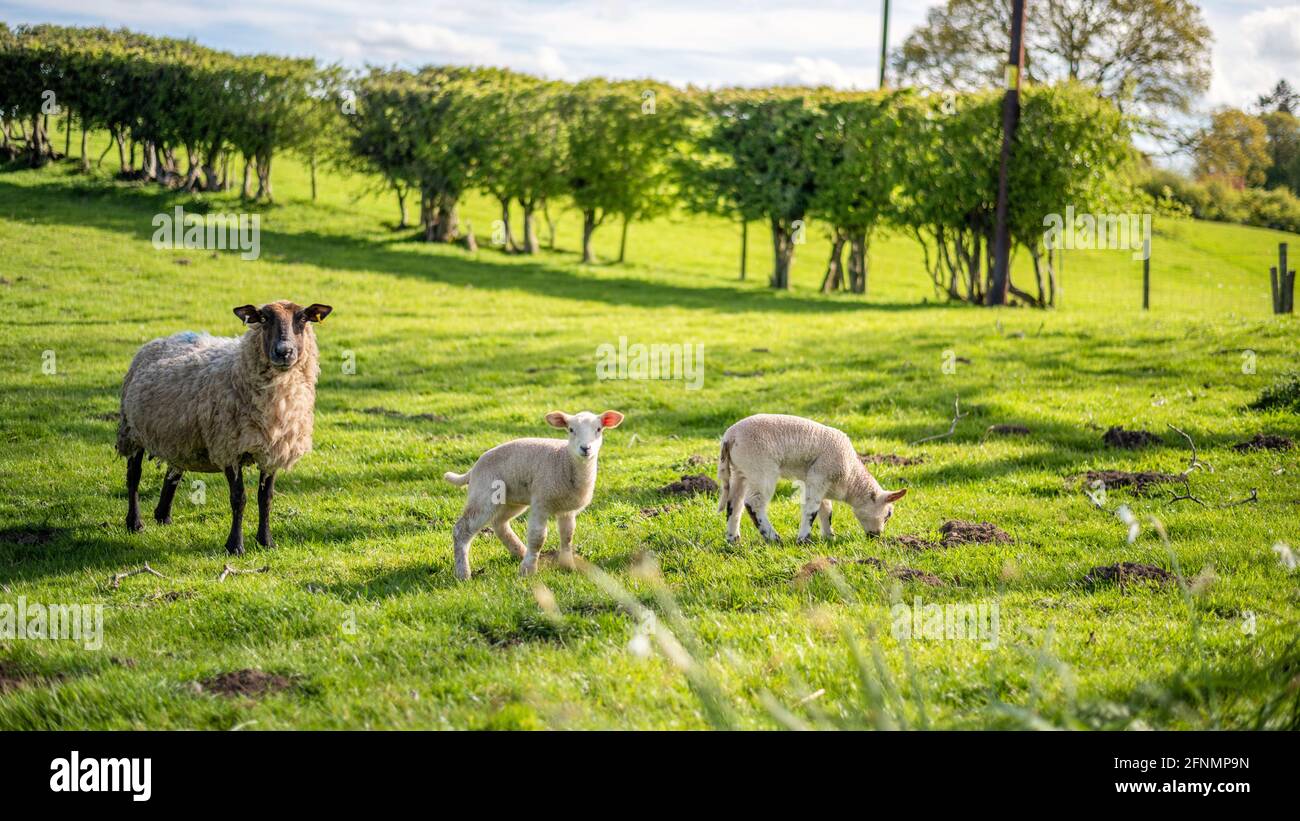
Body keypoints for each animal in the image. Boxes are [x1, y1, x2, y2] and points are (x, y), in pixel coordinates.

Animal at [115, 300, 333, 554]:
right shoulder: (229, 447)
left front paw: (266, 541)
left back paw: (163, 516)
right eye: (263, 318)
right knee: (134, 476)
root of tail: (164, 338)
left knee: (173, 472)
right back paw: (135, 523)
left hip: (179, 437)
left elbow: (266, 498)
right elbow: (239, 498)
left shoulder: (273, 449)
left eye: (303, 318)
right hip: (132, 431)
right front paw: (235, 546)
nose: (284, 352)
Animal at [443, 410, 625, 580]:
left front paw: (568, 566)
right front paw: (528, 571)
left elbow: (567, 536)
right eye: (571, 429)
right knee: (461, 529)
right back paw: (463, 573)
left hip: (511, 500)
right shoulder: (540, 502)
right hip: (483, 494)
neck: (564, 461)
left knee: (499, 523)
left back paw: (520, 552)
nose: (585, 448)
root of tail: (474, 468)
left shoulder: (567, 510)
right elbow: (538, 537)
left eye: (599, 429)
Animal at [717, 413, 907, 544]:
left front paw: (829, 536)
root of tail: (729, 436)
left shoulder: (821, 482)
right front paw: (804, 539)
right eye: (888, 514)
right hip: (761, 469)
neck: (851, 479)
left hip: (741, 471)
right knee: (753, 503)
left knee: (734, 503)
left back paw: (733, 539)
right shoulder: (819, 476)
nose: (877, 536)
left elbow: (826, 510)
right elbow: (811, 509)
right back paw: (773, 538)